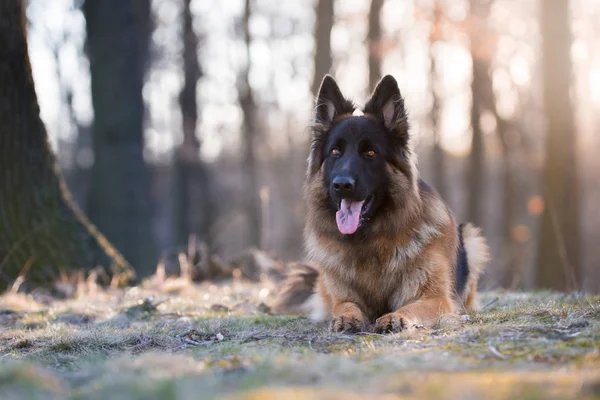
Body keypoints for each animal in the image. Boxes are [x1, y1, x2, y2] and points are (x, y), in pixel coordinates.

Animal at [274, 76, 490, 334]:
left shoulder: (435, 298)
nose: (342, 185)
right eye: (335, 152)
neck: (370, 239)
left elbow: (410, 307)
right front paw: (347, 317)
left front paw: (395, 317)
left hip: (471, 237)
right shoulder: (342, 297)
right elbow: (345, 305)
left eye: (370, 153)